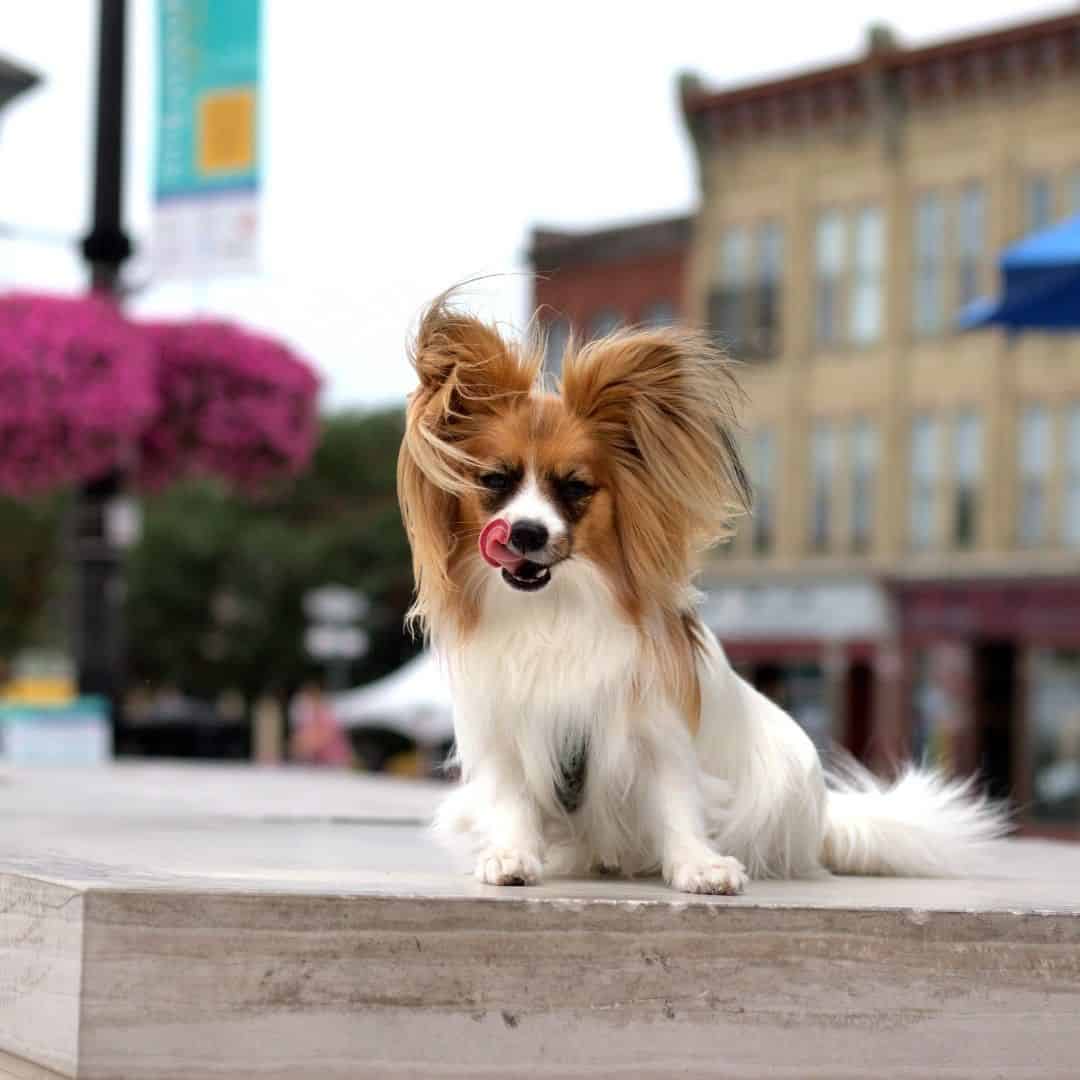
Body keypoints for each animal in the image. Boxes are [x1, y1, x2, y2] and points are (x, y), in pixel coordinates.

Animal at [397, 295, 1002, 894]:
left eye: (574, 488)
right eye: (495, 482)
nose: (525, 533)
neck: (554, 607)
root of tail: (823, 826)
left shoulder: (656, 726)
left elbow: (675, 800)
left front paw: (699, 865)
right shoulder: (506, 728)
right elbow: (513, 800)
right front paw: (511, 856)